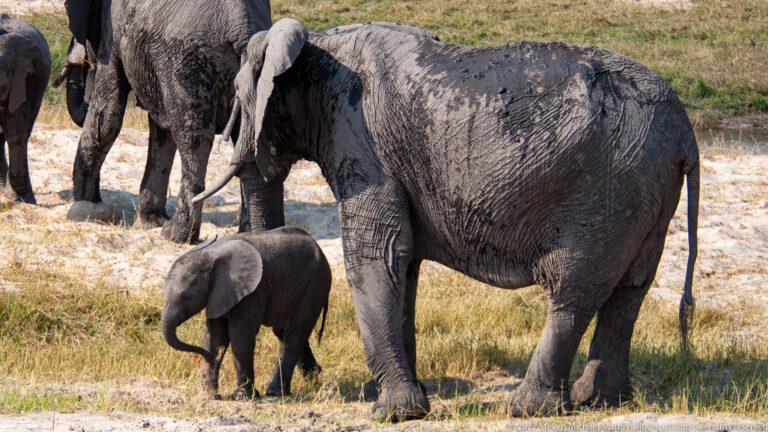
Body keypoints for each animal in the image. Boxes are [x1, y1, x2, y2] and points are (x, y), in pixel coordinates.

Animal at [60, 0, 284, 242]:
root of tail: (241, 30)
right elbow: (161, 131)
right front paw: (149, 223)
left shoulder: (113, 34)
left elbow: (107, 116)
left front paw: (86, 209)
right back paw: (252, 234)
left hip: (188, 66)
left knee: (194, 141)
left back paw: (176, 235)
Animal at [161, 226, 332, 399]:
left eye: (187, 297)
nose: (206, 355)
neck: (210, 254)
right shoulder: (218, 294)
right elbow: (214, 336)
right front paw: (209, 396)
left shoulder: (253, 292)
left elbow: (241, 336)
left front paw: (244, 397)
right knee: (283, 334)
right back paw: (289, 385)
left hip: (314, 288)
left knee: (294, 335)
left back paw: (277, 392)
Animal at [197, 19, 700, 420]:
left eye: (238, 97)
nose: (302, 380)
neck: (317, 44)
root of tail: (685, 132)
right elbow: (402, 267)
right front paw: (400, 396)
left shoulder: (363, 144)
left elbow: (374, 256)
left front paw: (393, 412)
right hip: (646, 188)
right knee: (628, 292)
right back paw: (601, 402)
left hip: (610, 187)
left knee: (573, 290)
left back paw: (529, 408)